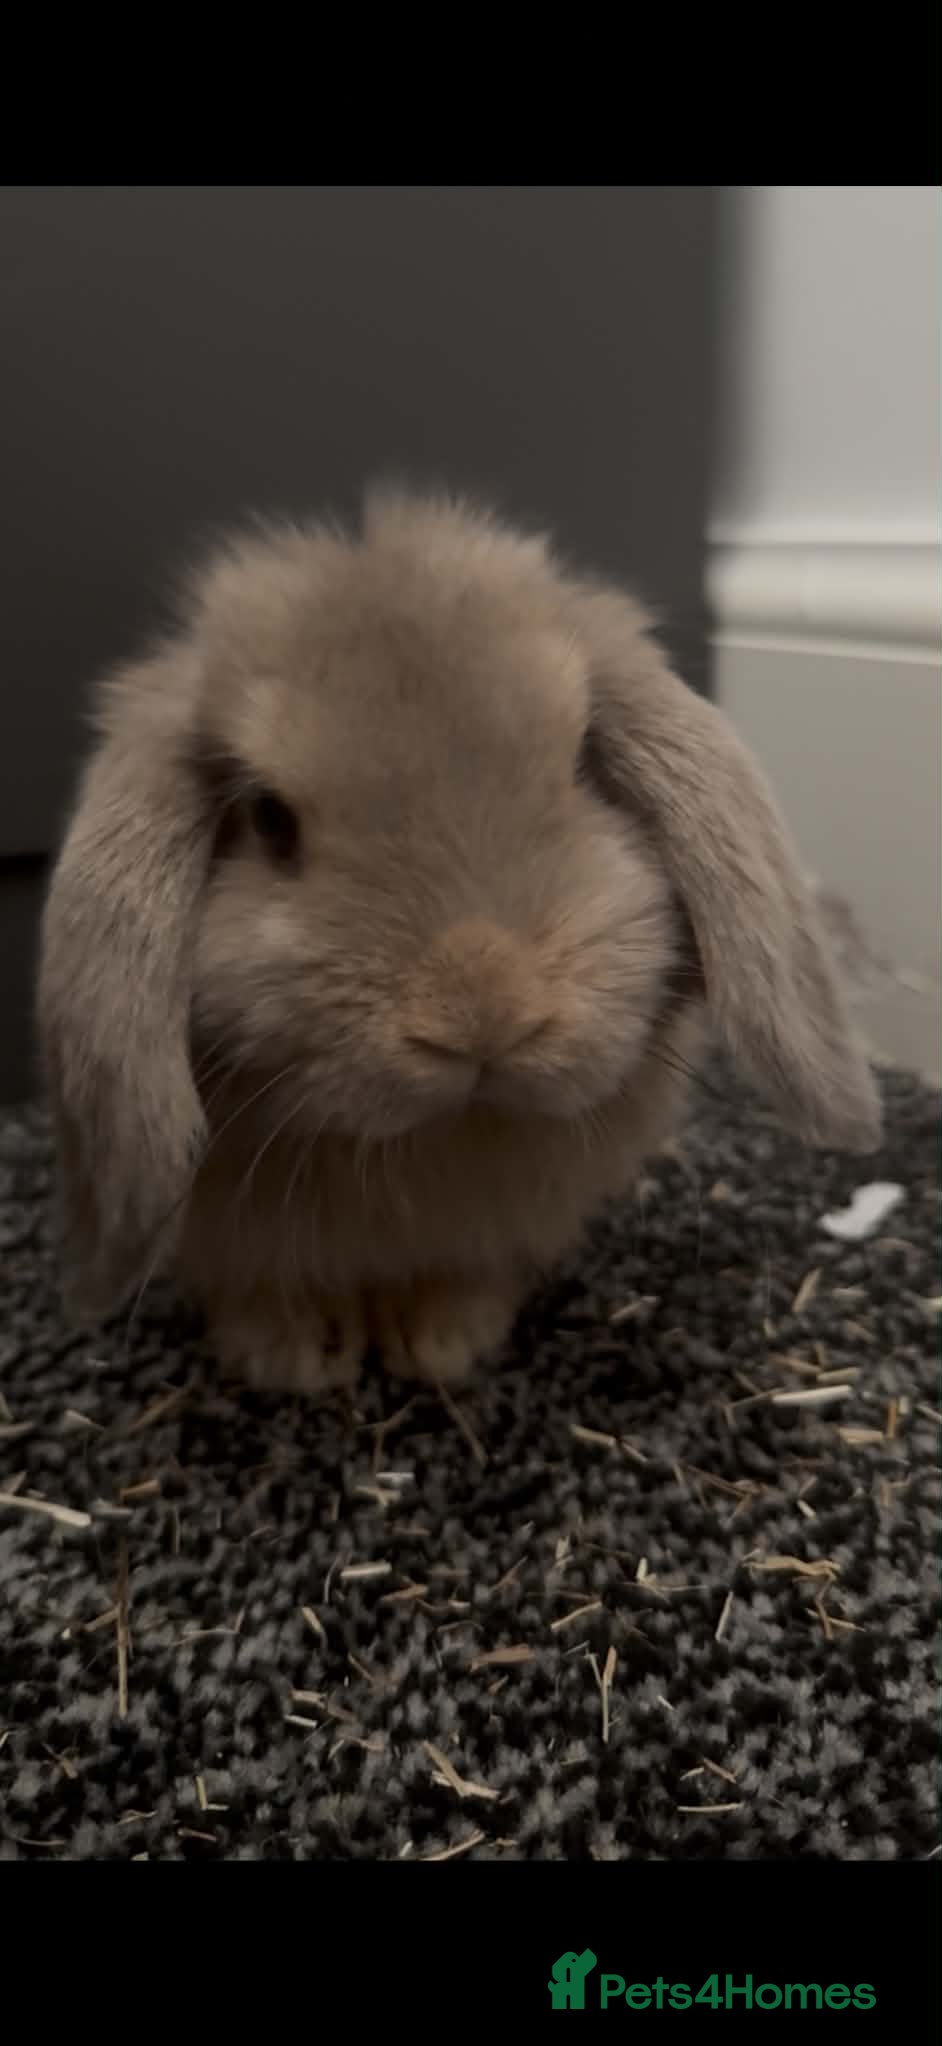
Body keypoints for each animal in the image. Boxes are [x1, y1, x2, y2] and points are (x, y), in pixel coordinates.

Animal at [37, 487, 881, 1395]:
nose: (483, 1015)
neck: (437, 1144)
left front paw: (442, 1343)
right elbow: (261, 1289)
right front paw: (295, 1360)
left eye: (581, 766)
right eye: (268, 817)